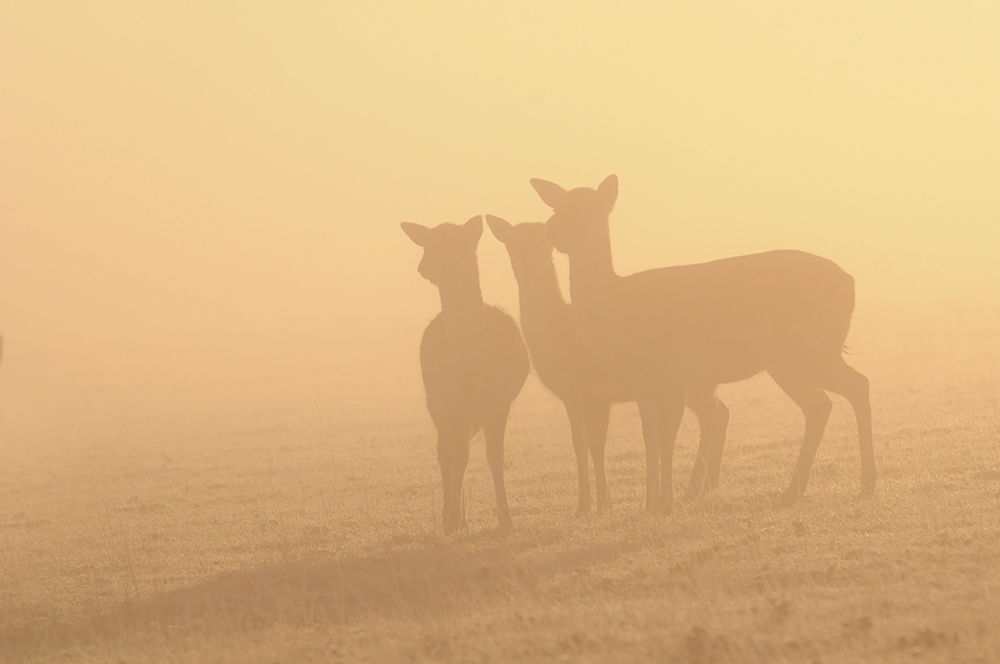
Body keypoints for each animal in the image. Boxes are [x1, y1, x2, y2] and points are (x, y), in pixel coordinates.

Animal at [401, 216, 529, 534]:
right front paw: (450, 520)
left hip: (473, 413)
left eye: (455, 244)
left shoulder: (498, 400)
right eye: (428, 243)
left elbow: (494, 455)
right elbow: (459, 455)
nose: (423, 266)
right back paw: (453, 517)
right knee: (445, 449)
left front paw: (506, 520)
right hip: (436, 402)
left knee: (456, 447)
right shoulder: (451, 400)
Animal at [531, 174, 874, 513]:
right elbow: (650, 439)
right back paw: (792, 493)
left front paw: (666, 503)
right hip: (788, 360)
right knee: (820, 404)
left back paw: (866, 485)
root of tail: (851, 283)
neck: (619, 314)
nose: (551, 229)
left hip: (812, 347)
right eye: (558, 206)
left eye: (590, 210)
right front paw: (650, 504)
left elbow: (667, 437)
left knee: (857, 385)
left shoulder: (673, 374)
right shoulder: (645, 384)